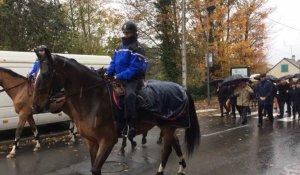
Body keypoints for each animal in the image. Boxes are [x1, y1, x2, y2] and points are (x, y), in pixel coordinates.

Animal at [32, 49, 199, 175]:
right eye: (35, 75)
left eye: (46, 74)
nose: (35, 106)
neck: (93, 99)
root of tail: (181, 88)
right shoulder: (91, 142)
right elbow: (93, 167)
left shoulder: (108, 141)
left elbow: (96, 169)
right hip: (168, 127)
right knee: (175, 144)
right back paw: (181, 168)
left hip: (168, 127)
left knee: (166, 150)